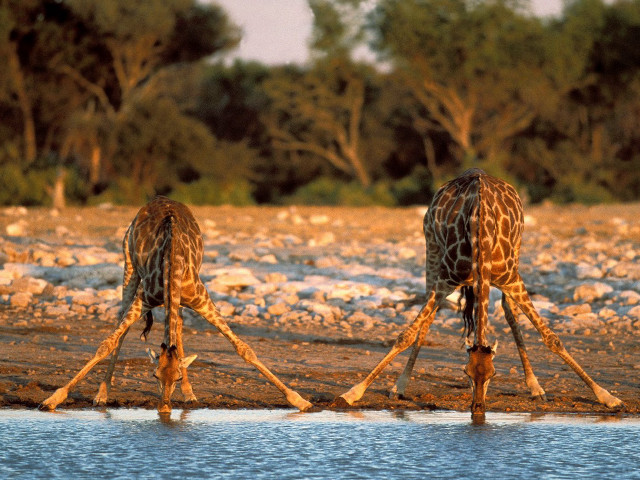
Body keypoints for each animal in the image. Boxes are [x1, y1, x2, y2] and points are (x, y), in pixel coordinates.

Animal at [39, 196, 313, 413]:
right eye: (154, 375)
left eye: (177, 377)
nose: (164, 408)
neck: (172, 262)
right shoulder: (144, 298)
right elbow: (106, 344)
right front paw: (53, 400)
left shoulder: (201, 299)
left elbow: (244, 349)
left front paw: (299, 400)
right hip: (129, 266)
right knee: (122, 324)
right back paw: (102, 395)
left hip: (175, 296)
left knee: (178, 326)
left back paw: (190, 394)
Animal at [332, 168, 623, 414]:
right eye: (466, 373)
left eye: (493, 374)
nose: (478, 409)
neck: (481, 234)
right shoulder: (445, 280)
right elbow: (406, 334)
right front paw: (352, 393)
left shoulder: (512, 279)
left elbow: (552, 339)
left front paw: (607, 396)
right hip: (431, 249)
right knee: (429, 316)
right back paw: (400, 386)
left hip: (517, 253)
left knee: (508, 310)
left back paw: (535, 387)